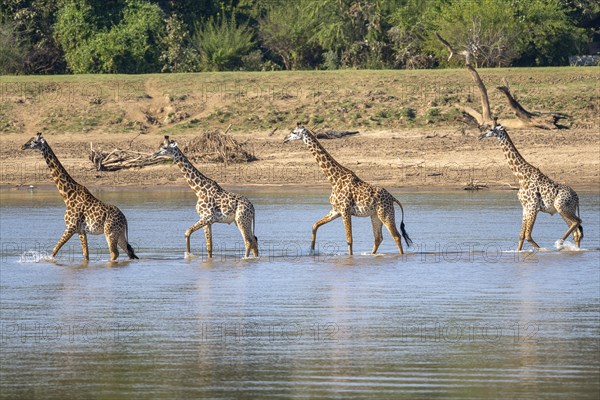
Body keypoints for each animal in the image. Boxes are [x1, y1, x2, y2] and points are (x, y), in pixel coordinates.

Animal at [284, 123, 410, 255]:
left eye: (294, 132)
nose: (285, 139)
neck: (333, 179)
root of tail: (392, 197)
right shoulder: (336, 210)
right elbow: (315, 225)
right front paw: (312, 251)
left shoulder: (345, 210)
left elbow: (349, 239)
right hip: (375, 215)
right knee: (378, 238)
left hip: (385, 214)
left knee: (396, 236)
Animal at [478, 123, 580, 252]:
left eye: (491, 129)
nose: (480, 136)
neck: (521, 176)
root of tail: (577, 197)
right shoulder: (525, 208)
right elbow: (521, 235)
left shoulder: (532, 206)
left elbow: (527, 235)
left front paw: (543, 250)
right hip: (565, 210)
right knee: (577, 232)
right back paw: (574, 248)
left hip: (561, 207)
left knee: (577, 223)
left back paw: (560, 243)